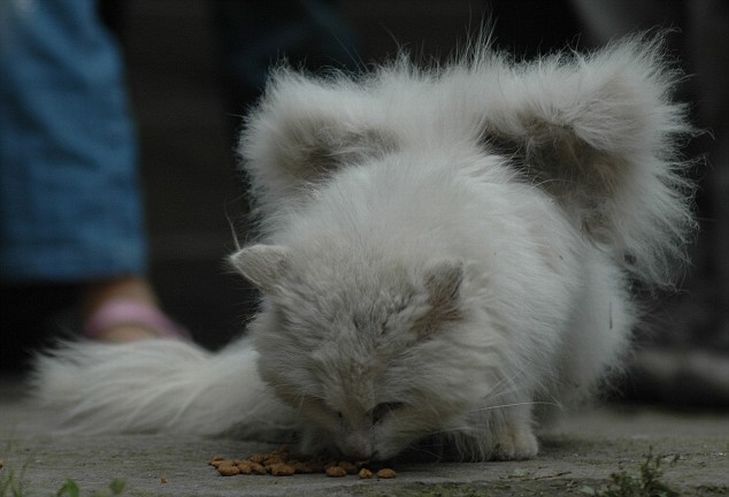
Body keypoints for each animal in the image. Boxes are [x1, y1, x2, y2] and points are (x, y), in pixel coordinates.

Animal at [34, 35, 692, 462]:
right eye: (331, 405)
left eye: (388, 408)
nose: (356, 454)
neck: (375, 240)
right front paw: (314, 440)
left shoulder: (522, 343)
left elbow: (507, 399)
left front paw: (506, 446)